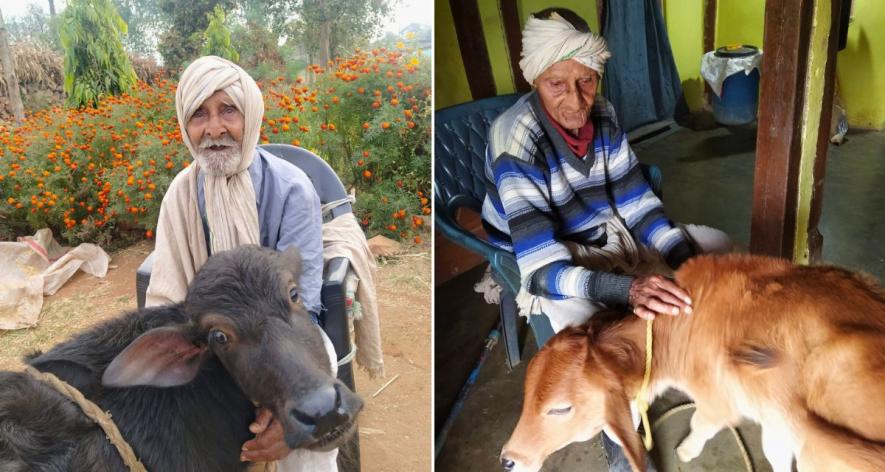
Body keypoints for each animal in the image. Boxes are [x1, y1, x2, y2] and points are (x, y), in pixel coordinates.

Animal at [501, 253, 885, 472]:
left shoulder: (719, 402)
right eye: (527, 397)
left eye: (560, 409)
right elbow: (775, 453)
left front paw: (686, 451)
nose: (507, 459)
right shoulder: (775, 417)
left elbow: (701, 423)